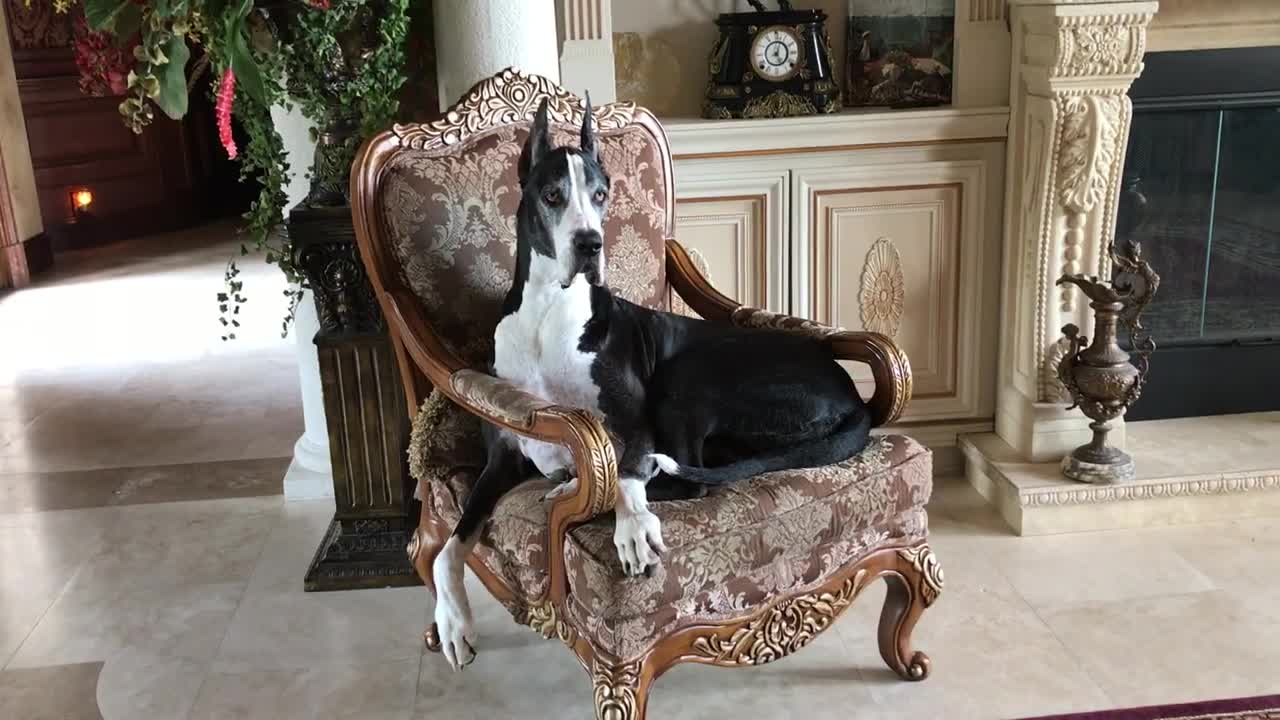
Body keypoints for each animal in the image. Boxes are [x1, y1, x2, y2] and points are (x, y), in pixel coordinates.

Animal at [430, 96, 870, 666]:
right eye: (552, 195)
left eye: (601, 195)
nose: (590, 243)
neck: (548, 310)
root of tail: (852, 393)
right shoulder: (502, 453)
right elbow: (447, 547)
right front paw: (452, 621)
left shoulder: (636, 426)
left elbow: (628, 473)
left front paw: (633, 525)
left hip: (689, 375)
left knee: (687, 479)